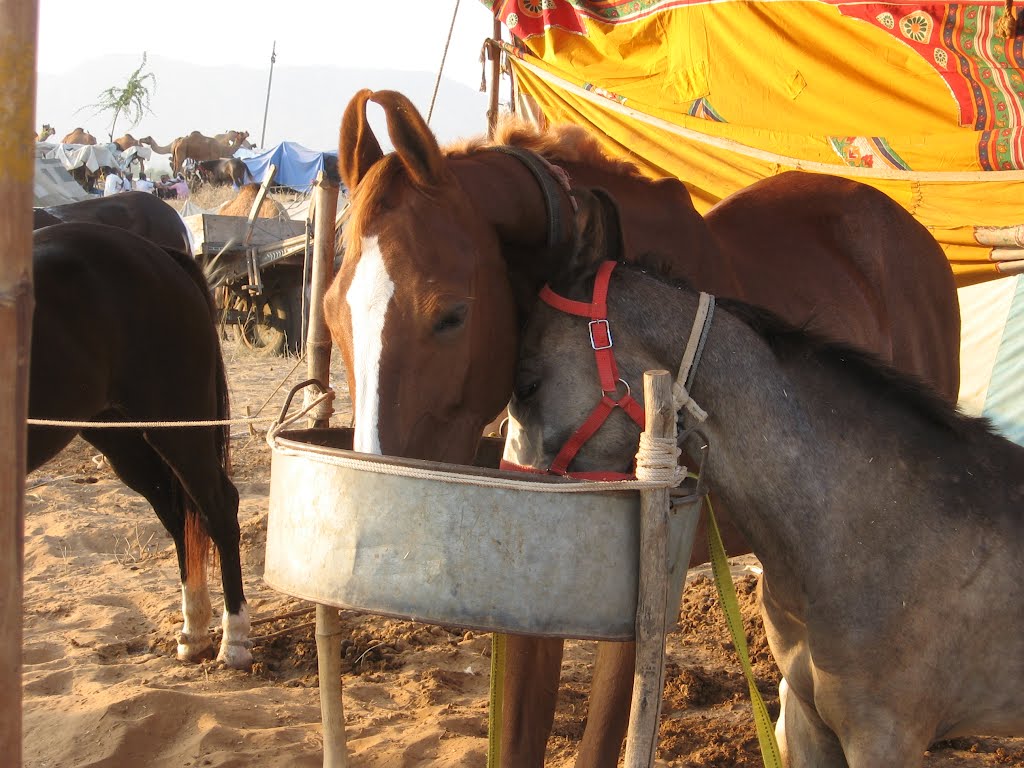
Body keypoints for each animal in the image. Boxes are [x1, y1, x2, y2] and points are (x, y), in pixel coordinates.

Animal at [28, 221, 251, 667]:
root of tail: (161, 254)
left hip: (178, 425)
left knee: (217, 507)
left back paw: (233, 640)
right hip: (123, 437)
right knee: (178, 514)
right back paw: (194, 633)